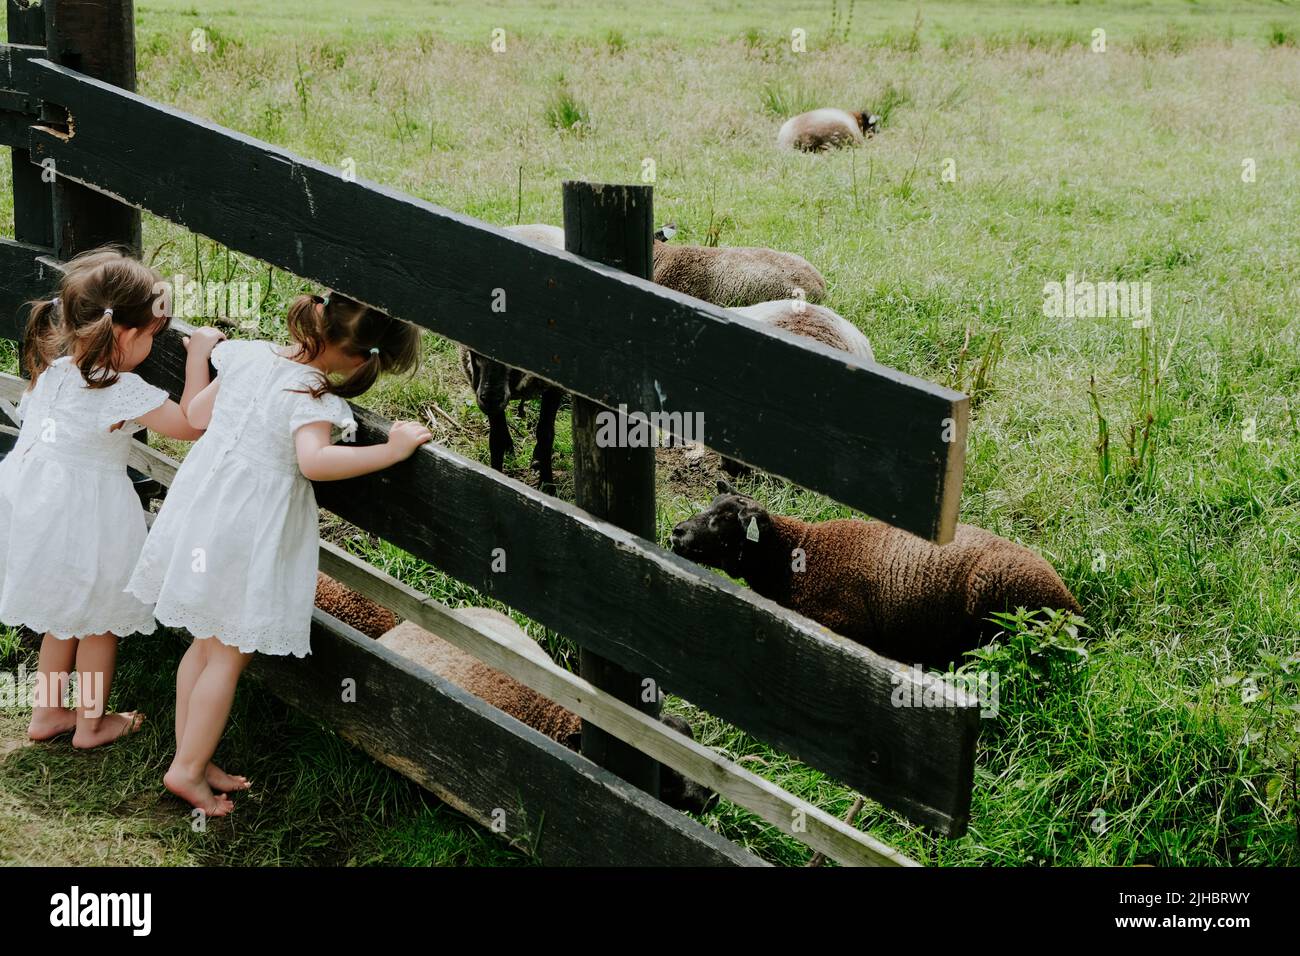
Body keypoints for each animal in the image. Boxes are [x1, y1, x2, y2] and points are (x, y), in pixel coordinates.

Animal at [460, 226, 566, 486]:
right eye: (476, 351)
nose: (490, 398)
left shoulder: (553, 388)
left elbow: (545, 434)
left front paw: (547, 484)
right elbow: (496, 439)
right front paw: (496, 476)